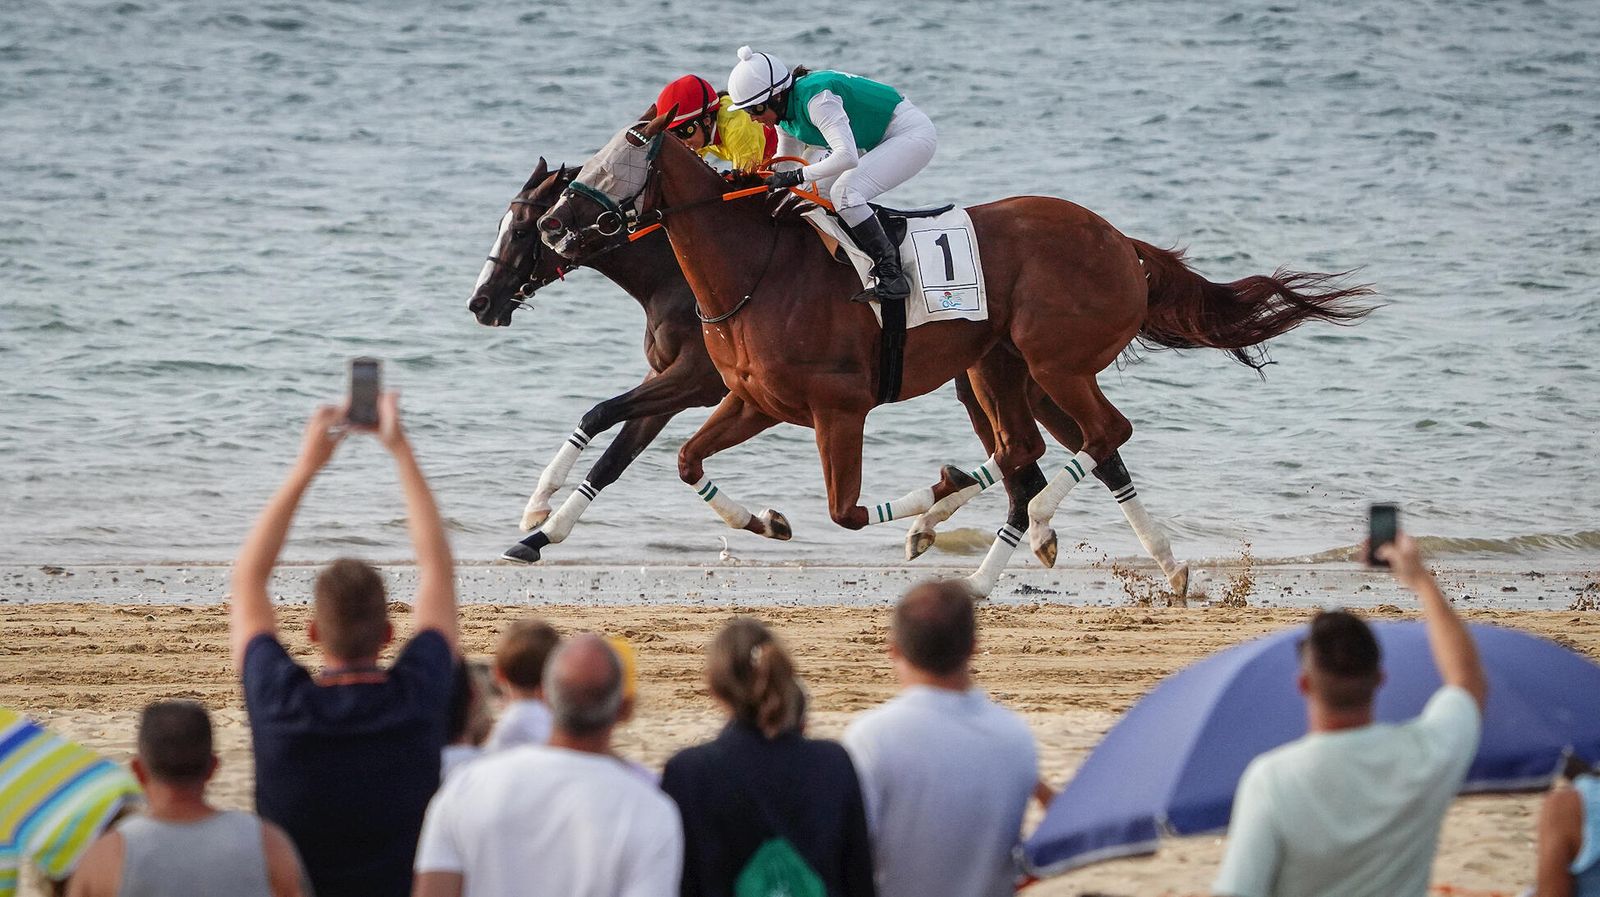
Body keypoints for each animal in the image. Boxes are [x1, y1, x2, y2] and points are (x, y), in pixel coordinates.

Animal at [468, 159, 1202, 595]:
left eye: (525, 226)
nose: (481, 301)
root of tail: (1123, 244)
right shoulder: (696, 389)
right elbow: (619, 449)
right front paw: (538, 532)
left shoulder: (696, 383)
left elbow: (602, 419)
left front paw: (537, 514)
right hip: (1001, 373)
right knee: (1062, 452)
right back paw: (1143, 557)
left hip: (1039, 366)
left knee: (1085, 443)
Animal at [535, 112, 1374, 583]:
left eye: (619, 161)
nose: (550, 226)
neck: (755, 269)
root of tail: (1122, 243)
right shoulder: (751, 399)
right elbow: (685, 460)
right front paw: (767, 522)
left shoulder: (838, 406)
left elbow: (846, 511)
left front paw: (935, 493)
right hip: (999, 368)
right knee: (1046, 454)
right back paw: (1151, 566)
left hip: (1053, 360)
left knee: (1091, 440)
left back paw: (1018, 544)